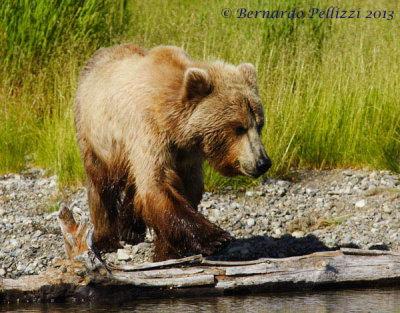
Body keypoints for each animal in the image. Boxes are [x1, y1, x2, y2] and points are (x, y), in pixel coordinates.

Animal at [73, 42, 270, 260]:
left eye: (259, 124)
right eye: (239, 128)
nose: (262, 162)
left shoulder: (187, 153)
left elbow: (187, 188)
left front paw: (168, 250)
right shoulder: (149, 130)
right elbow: (158, 184)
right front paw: (216, 238)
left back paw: (130, 228)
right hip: (93, 133)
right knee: (100, 184)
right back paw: (107, 238)